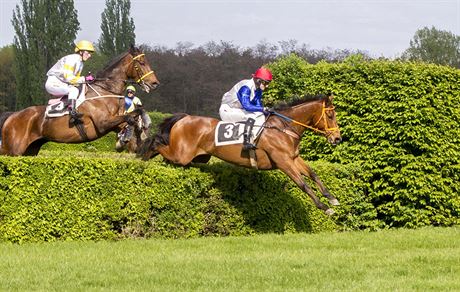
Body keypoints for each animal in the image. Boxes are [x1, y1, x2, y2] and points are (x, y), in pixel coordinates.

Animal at [0, 46, 159, 155]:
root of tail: (12, 116)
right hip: (12, 150)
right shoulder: (103, 123)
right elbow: (131, 116)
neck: (106, 90)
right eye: (141, 62)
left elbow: (133, 116)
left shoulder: (114, 122)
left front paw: (136, 135)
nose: (155, 83)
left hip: (29, 151)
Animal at [140, 93, 342, 214]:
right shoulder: (283, 161)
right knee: (156, 143)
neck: (283, 128)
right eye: (330, 115)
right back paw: (143, 157)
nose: (337, 138)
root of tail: (185, 118)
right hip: (181, 154)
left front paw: (332, 198)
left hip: (199, 157)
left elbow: (313, 174)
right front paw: (324, 207)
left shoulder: (293, 158)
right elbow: (303, 184)